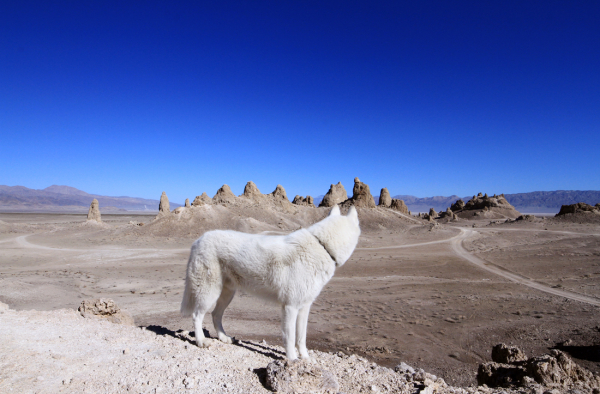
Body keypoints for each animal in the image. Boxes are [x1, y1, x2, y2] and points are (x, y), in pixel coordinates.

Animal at [180, 206, 358, 360]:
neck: (322, 246)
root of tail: (198, 240)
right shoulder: (290, 307)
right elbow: (290, 337)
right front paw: (292, 360)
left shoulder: (304, 307)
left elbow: (301, 338)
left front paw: (306, 359)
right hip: (209, 293)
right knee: (197, 315)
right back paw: (201, 341)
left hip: (227, 294)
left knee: (215, 315)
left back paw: (224, 338)